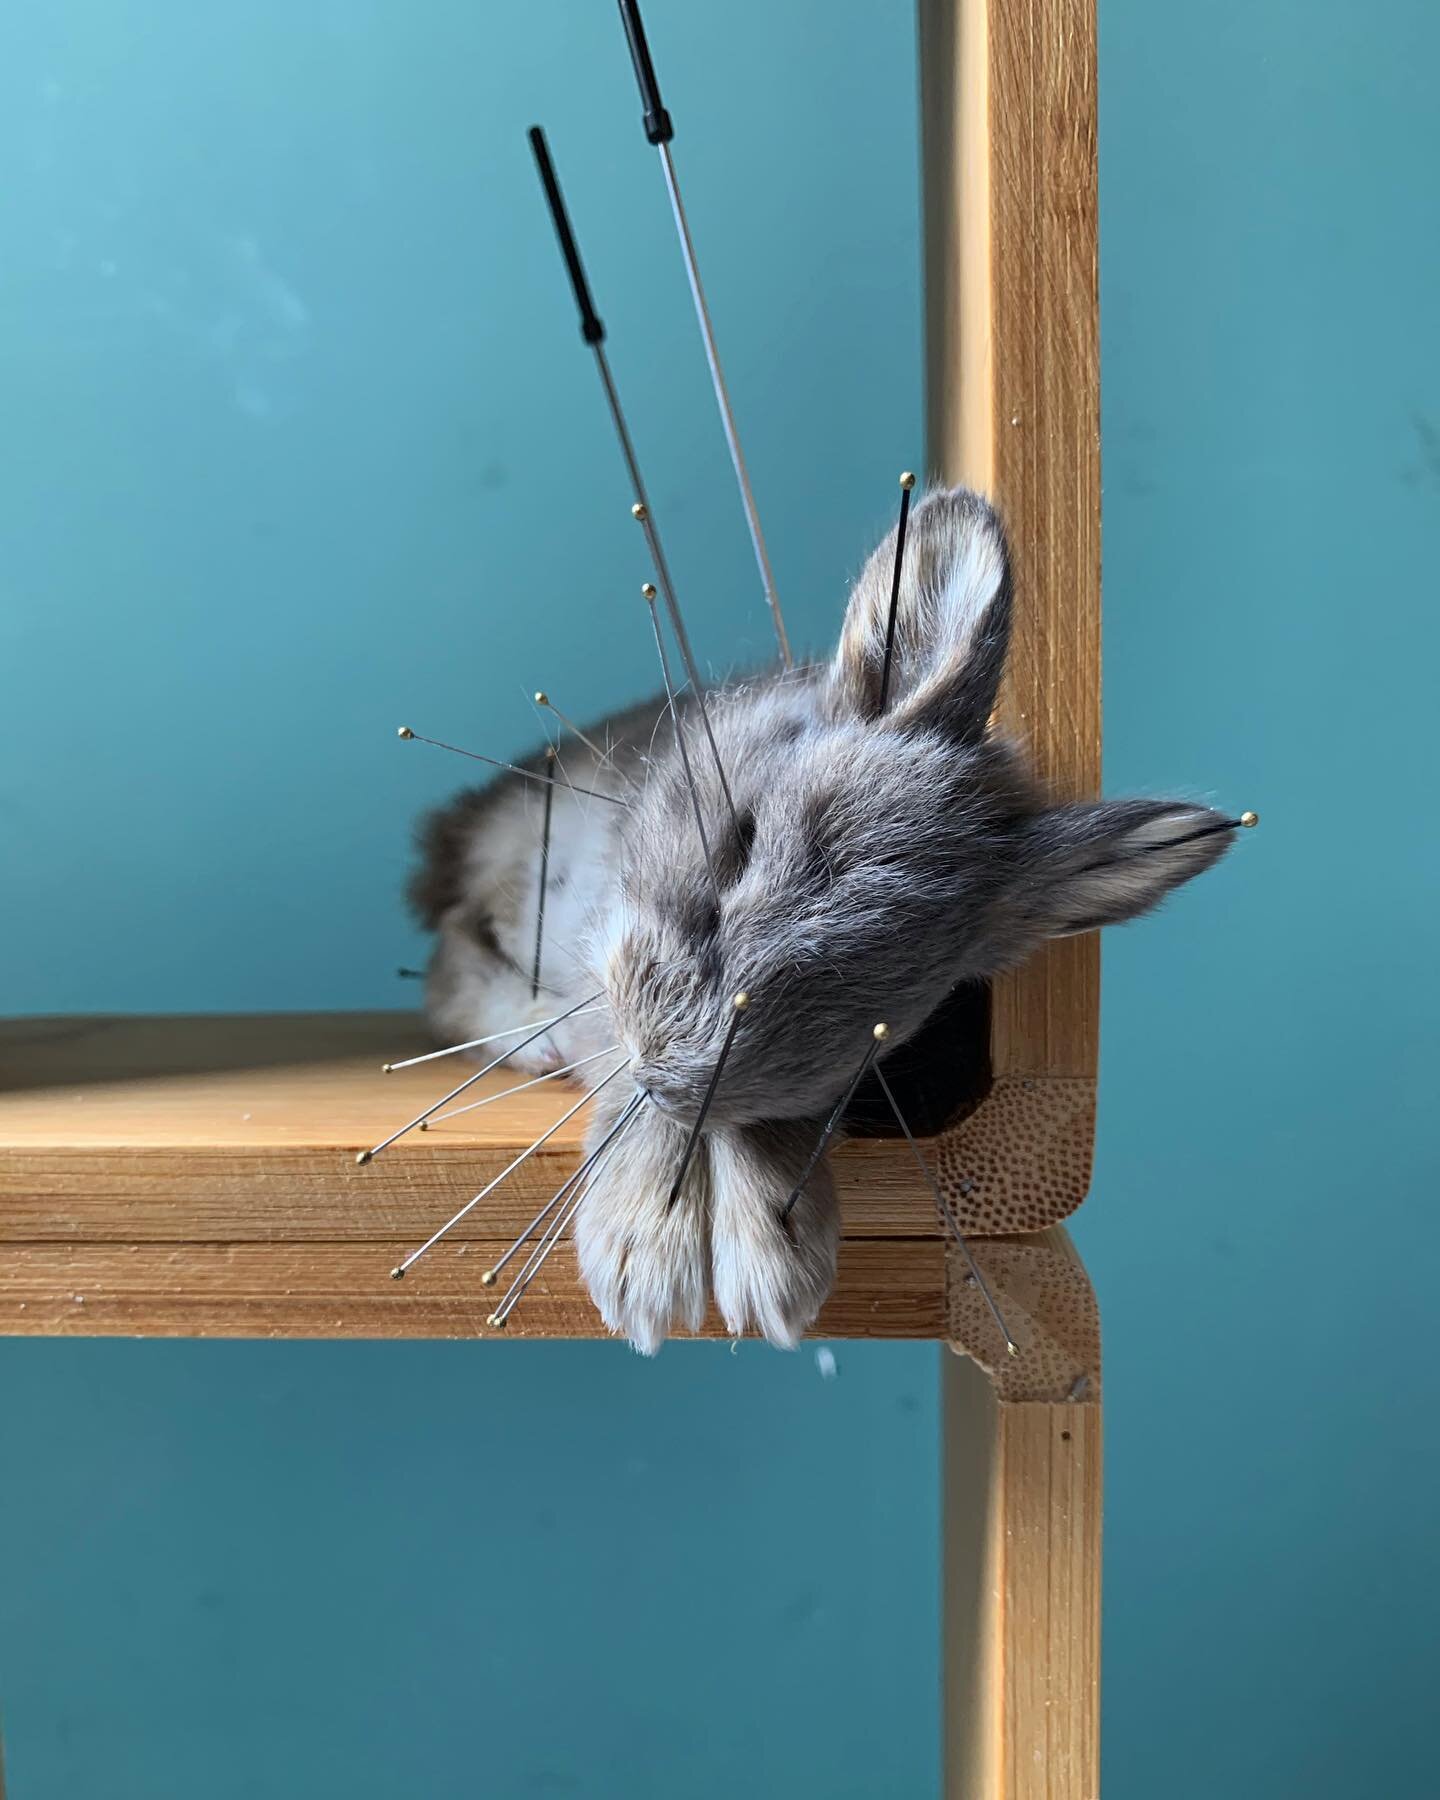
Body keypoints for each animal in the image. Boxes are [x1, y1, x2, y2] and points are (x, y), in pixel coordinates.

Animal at [408, 486, 1238, 1353]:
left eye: (881, 1007)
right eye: (739, 839)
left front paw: (771, 1261)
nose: (665, 1070)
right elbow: (605, 1061)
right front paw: (649, 1256)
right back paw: (532, 1035)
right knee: (450, 968)